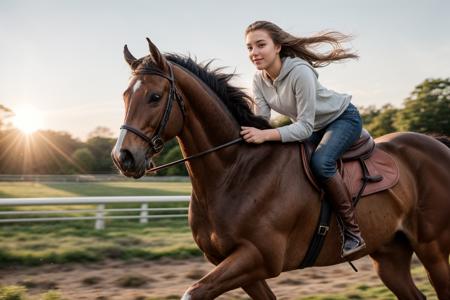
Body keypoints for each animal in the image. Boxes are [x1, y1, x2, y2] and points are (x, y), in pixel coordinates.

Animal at [111, 39, 450, 300]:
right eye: (125, 95)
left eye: (155, 97)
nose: (122, 157)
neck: (234, 170)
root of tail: (437, 144)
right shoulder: (239, 267)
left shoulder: (258, 257)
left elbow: (193, 291)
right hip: (389, 254)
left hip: (432, 248)